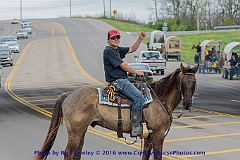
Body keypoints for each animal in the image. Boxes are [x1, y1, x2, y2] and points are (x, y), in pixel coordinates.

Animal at [34, 63, 199, 159]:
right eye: (182, 81)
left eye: (194, 82)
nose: (187, 103)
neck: (159, 98)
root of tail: (69, 94)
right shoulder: (158, 136)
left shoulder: (149, 137)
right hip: (75, 132)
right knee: (69, 153)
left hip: (81, 131)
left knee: (76, 154)